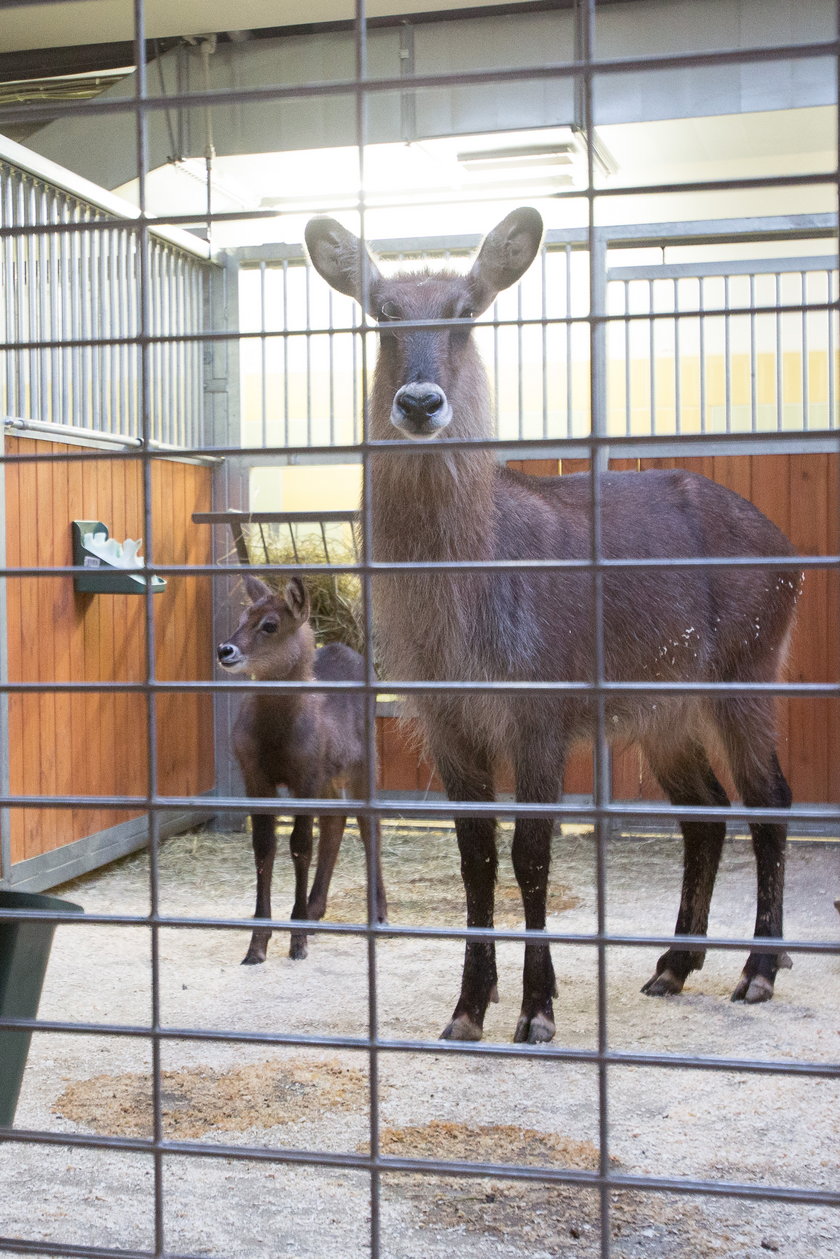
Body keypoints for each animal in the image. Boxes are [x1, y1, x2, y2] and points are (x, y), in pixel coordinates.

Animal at [306, 211, 800, 1047]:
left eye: (466, 312)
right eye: (384, 313)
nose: (420, 402)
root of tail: (784, 545)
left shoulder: (537, 716)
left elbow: (530, 855)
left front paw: (537, 1009)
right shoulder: (447, 722)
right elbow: (476, 859)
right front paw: (468, 1008)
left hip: (744, 677)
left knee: (770, 800)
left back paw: (757, 971)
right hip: (664, 712)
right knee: (705, 814)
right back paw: (672, 965)